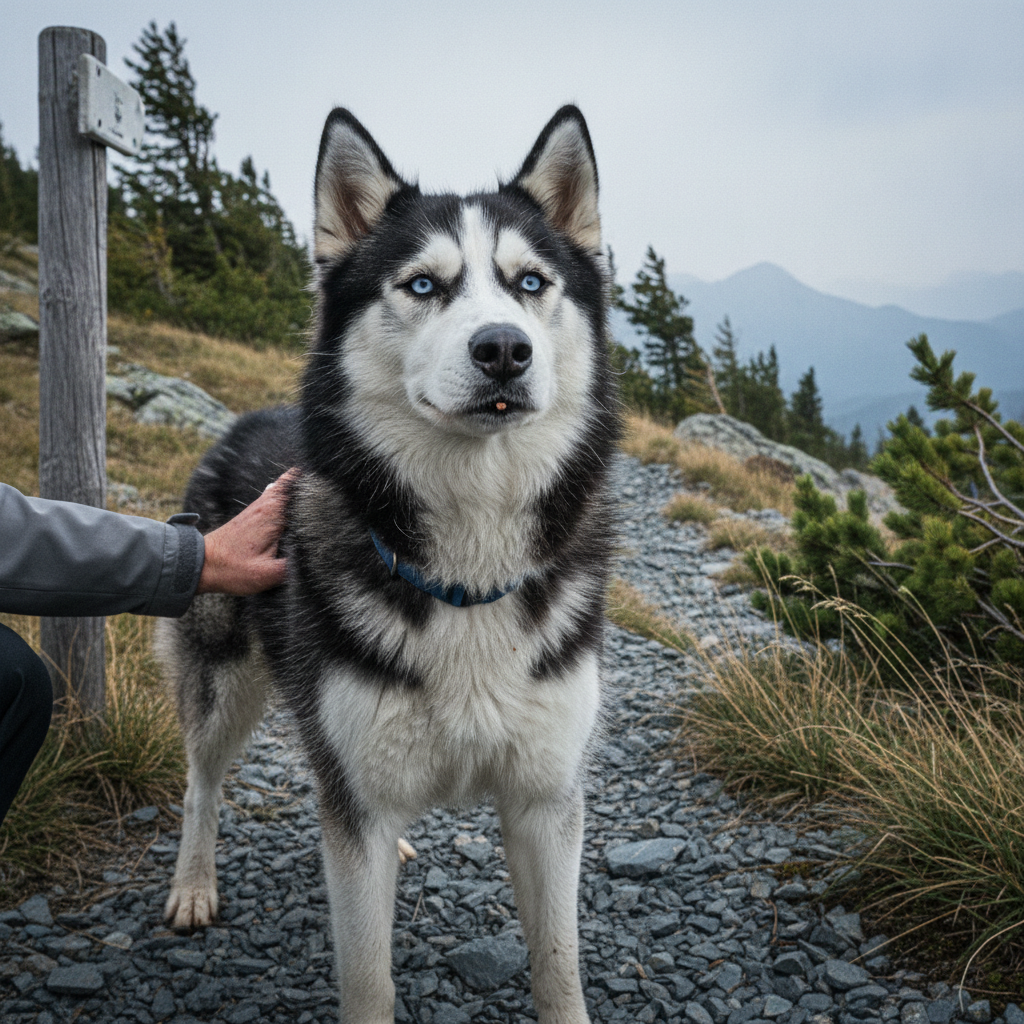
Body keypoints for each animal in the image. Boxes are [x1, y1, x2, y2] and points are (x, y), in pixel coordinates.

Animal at [158, 104, 618, 1024]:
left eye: (530, 283)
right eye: (423, 286)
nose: (503, 349)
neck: (469, 569)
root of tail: (242, 418)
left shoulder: (546, 800)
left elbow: (558, 967)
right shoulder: (357, 815)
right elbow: (367, 977)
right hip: (220, 674)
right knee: (201, 782)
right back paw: (193, 884)